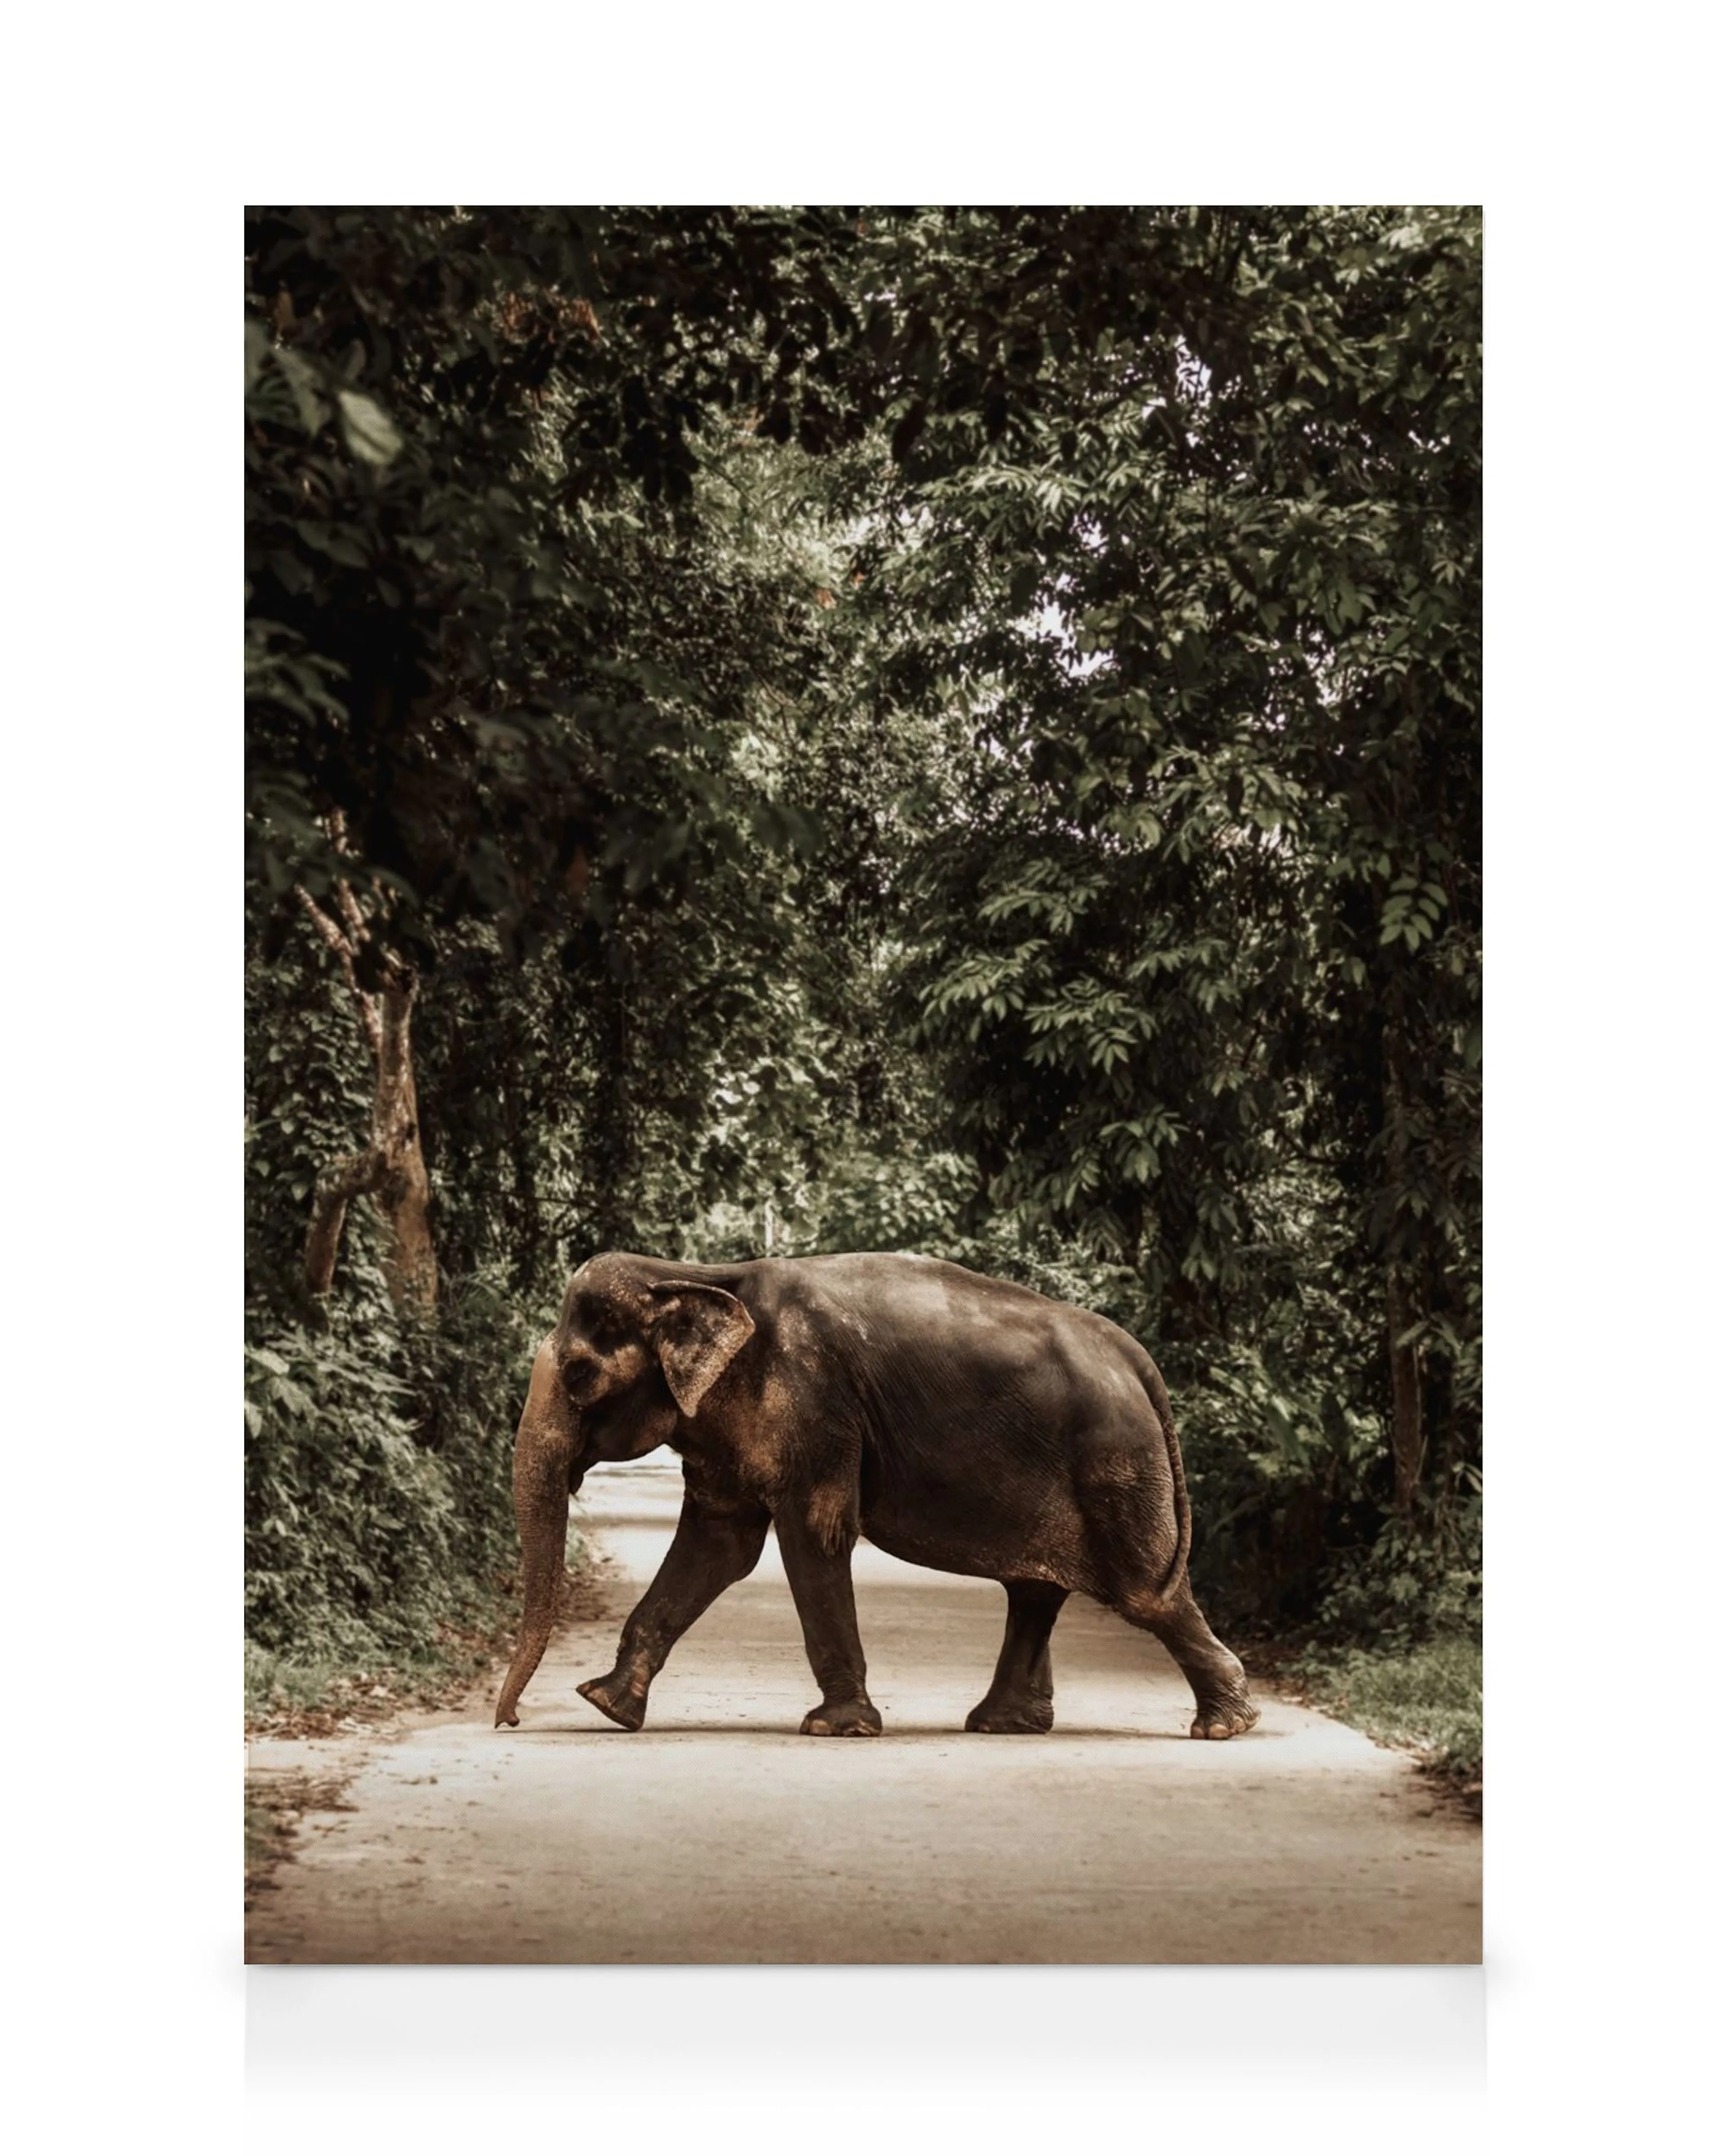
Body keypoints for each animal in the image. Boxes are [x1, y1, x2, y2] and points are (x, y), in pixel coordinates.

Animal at [494, 1249, 1259, 1742]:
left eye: (579, 1373)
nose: (509, 1720)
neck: (694, 1273)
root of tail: (1133, 1353)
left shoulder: (814, 1405)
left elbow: (813, 1533)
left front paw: (836, 1729)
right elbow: (719, 1544)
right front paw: (605, 1706)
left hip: (1116, 1461)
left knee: (1144, 1594)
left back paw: (1225, 1725)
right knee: (1036, 1591)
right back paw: (1002, 1725)